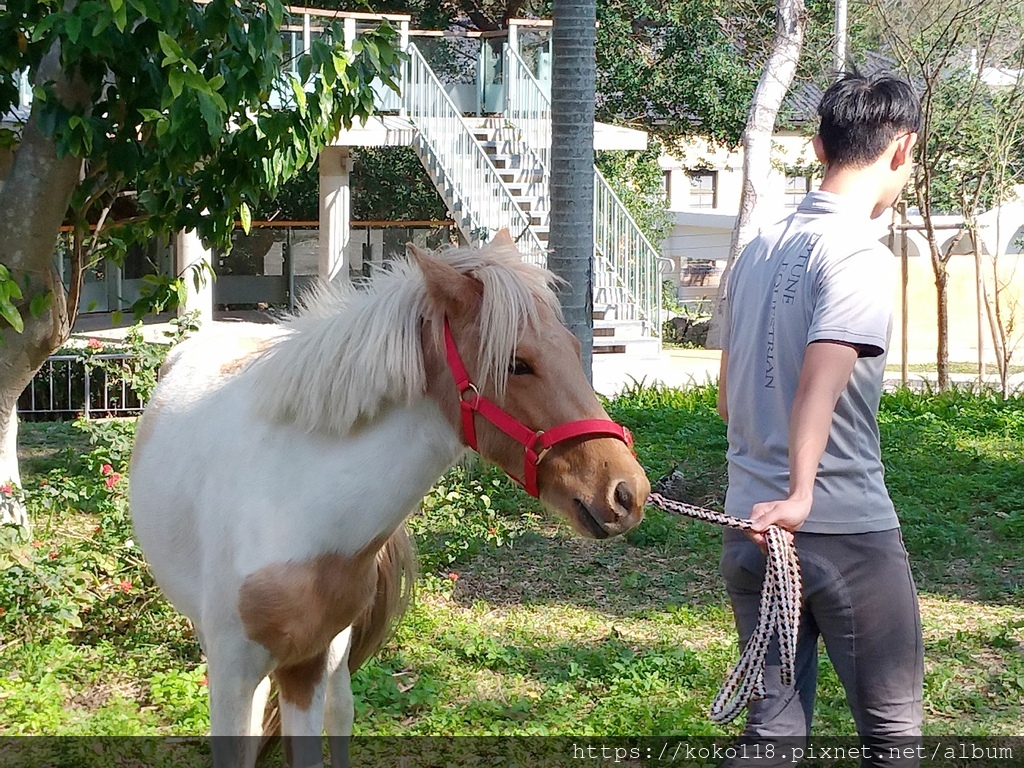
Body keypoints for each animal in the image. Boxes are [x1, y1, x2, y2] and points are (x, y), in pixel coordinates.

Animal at [130, 234, 647, 768]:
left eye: (574, 348)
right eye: (517, 363)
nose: (627, 492)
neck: (290, 504)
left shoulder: (307, 664)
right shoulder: (234, 672)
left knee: (341, 711)